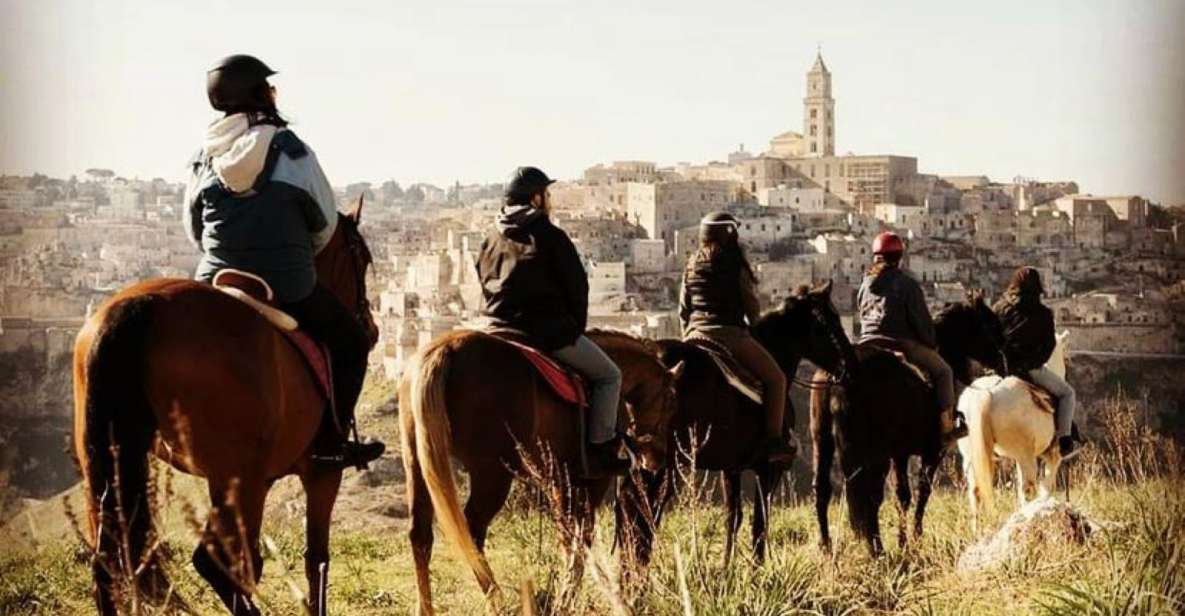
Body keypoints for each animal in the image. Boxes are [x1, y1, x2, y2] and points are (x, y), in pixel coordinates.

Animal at [72, 199, 374, 616]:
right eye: (363, 257)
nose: (371, 327)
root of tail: (141, 307)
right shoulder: (321, 474)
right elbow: (316, 559)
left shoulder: (260, 479)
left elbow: (257, 564)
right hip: (237, 477)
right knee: (209, 560)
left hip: (106, 467)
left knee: (108, 558)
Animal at [398, 329, 682, 611]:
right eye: (670, 401)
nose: (658, 458)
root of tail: (444, 350)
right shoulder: (593, 482)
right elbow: (582, 536)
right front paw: (568, 596)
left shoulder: (561, 481)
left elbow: (568, 536)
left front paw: (566, 594)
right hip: (492, 475)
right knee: (473, 532)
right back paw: (497, 601)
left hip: (417, 462)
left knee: (420, 536)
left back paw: (426, 608)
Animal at [611, 281, 853, 566]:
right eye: (829, 321)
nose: (850, 362)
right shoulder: (768, 468)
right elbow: (760, 522)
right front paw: (757, 568)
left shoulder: (732, 467)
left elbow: (732, 517)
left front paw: (727, 567)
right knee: (642, 512)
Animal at [810, 291, 1004, 556]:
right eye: (991, 323)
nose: (1001, 361)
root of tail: (838, 374)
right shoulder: (933, 450)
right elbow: (923, 491)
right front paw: (915, 537)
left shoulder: (899, 453)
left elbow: (902, 495)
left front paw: (903, 542)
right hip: (875, 451)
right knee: (869, 496)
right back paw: (877, 549)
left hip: (823, 440)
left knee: (823, 489)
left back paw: (827, 548)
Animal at [952, 329, 1075, 530]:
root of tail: (986, 394)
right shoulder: (1053, 456)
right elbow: (1046, 488)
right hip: (1025, 458)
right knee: (1027, 490)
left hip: (971, 457)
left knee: (975, 492)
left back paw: (977, 532)